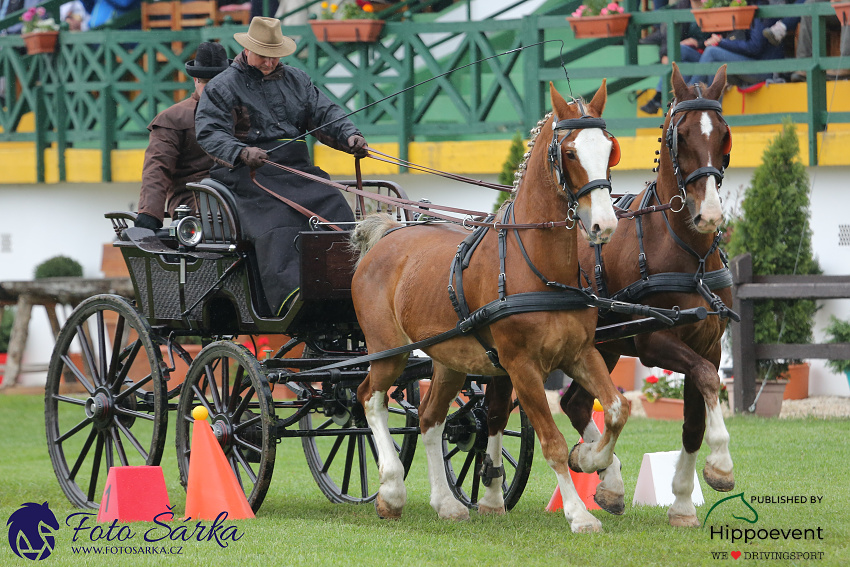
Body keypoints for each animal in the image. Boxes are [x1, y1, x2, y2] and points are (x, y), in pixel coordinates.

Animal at [350, 83, 624, 532]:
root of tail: (389, 233)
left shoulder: (581, 353)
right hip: (387, 350)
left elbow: (617, 409)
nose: (605, 225)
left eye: (609, 149)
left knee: (429, 419)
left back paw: (446, 503)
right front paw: (579, 513)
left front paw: (593, 463)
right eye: (569, 153)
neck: (537, 267)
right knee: (369, 397)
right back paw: (390, 490)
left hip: (449, 361)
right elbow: (552, 442)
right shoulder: (522, 366)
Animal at [560, 65, 732, 528]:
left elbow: (693, 420)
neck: (690, 253)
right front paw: (721, 464)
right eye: (681, 136)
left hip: (606, 346)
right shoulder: (656, 341)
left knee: (575, 403)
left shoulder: (708, 344)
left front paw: (682, 503)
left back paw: (606, 477)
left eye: (724, 136)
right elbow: (708, 381)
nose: (709, 215)